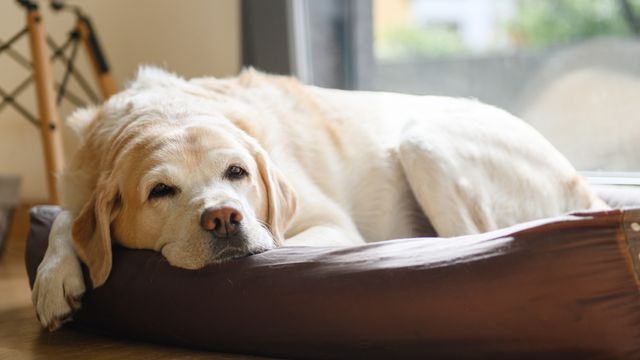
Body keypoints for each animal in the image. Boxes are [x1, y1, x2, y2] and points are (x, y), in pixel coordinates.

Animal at [32, 66, 608, 330]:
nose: (224, 217)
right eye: (160, 191)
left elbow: (284, 243)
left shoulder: (325, 222)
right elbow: (64, 218)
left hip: (423, 140)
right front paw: (55, 278)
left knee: (474, 239)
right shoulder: (79, 186)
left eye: (237, 172)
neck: (165, 110)